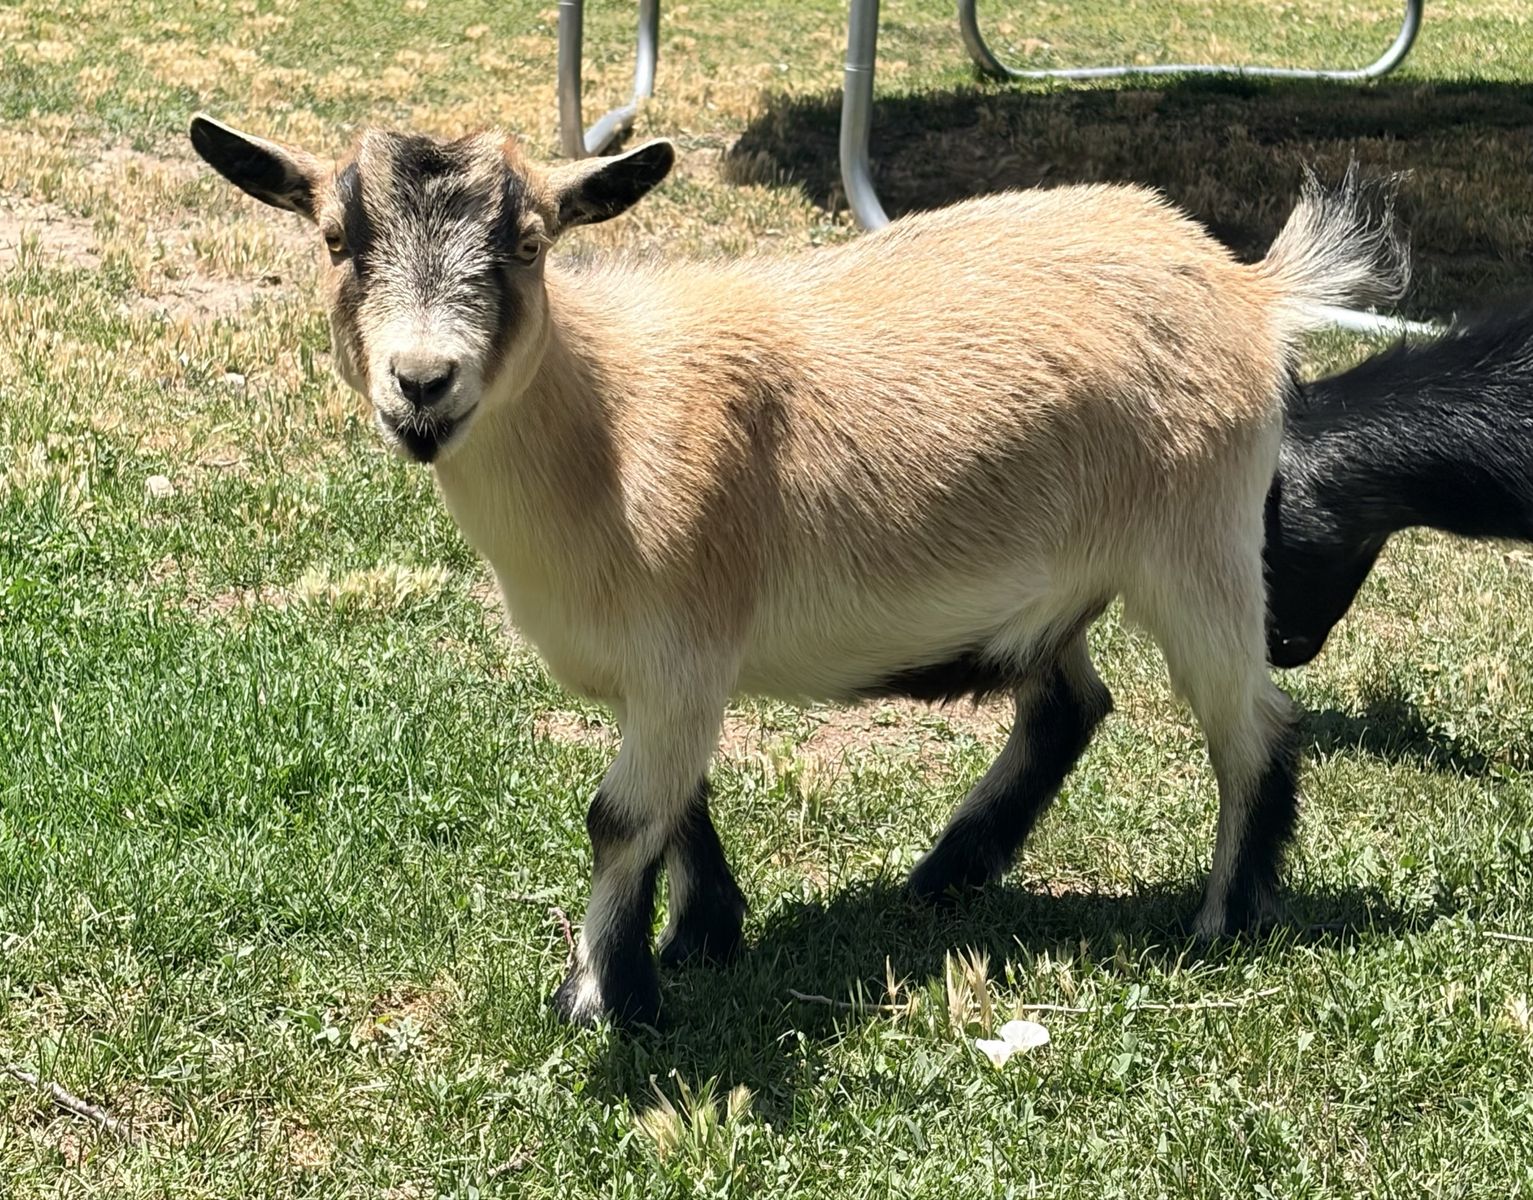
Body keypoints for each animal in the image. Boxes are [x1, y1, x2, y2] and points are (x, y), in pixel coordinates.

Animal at [189, 114, 1403, 1029]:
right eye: (336, 239)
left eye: (528, 243)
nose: (422, 383)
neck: (606, 426)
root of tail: (1246, 283)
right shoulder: (663, 674)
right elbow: (676, 804)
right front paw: (700, 937)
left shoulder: (683, 649)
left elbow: (619, 816)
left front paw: (604, 996)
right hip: (1059, 584)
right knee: (1069, 705)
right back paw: (949, 873)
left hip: (1196, 546)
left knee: (1252, 726)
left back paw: (1222, 920)